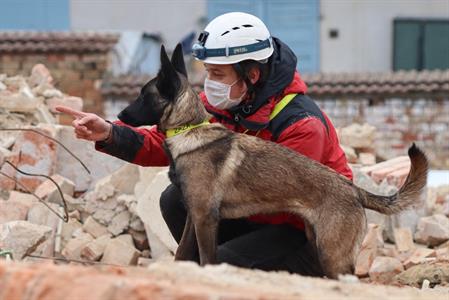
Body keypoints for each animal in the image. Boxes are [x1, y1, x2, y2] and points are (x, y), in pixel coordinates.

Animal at [118, 43, 428, 278]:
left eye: (143, 96)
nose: (119, 116)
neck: (189, 129)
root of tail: (354, 190)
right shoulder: (194, 217)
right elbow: (183, 253)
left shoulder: (205, 218)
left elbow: (207, 259)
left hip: (333, 255)